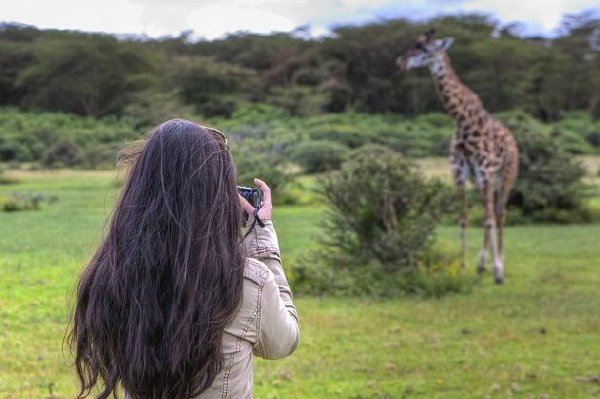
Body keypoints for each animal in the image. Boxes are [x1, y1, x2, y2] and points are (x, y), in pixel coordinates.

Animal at [396, 28, 516, 284]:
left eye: (424, 47)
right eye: (414, 43)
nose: (400, 61)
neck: (461, 120)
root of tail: (513, 139)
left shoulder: (485, 171)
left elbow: (490, 219)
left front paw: (498, 271)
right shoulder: (460, 174)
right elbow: (464, 218)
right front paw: (463, 268)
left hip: (505, 176)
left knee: (500, 213)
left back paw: (500, 263)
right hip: (481, 182)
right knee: (489, 213)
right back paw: (482, 266)